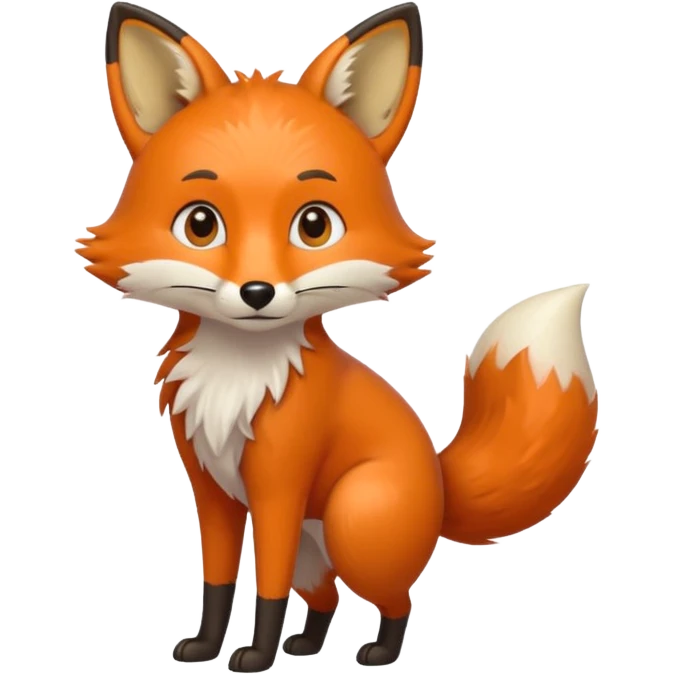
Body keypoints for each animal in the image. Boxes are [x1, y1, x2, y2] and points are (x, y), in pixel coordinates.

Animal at [77, 2, 599, 671]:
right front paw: (206, 647)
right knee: (325, 597)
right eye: (200, 225)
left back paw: (376, 653)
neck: (239, 375)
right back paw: (306, 644)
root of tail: (439, 479)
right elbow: (217, 582)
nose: (256, 292)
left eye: (314, 226)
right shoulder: (213, 491)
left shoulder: (278, 487)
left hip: (355, 522)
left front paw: (256, 655)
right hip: (316, 548)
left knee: (399, 599)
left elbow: (266, 587)